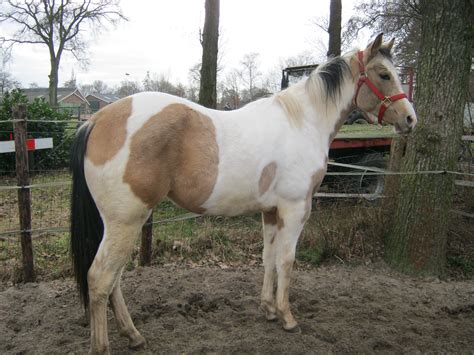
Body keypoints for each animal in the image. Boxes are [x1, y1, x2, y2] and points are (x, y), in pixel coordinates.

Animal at [69, 32, 414, 354]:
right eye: (383, 74)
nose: (410, 118)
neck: (302, 123)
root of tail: (97, 119)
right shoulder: (295, 209)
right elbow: (287, 260)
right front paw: (288, 318)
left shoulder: (271, 211)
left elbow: (268, 258)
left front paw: (269, 310)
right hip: (126, 221)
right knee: (100, 278)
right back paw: (103, 346)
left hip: (122, 223)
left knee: (114, 279)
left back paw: (133, 335)